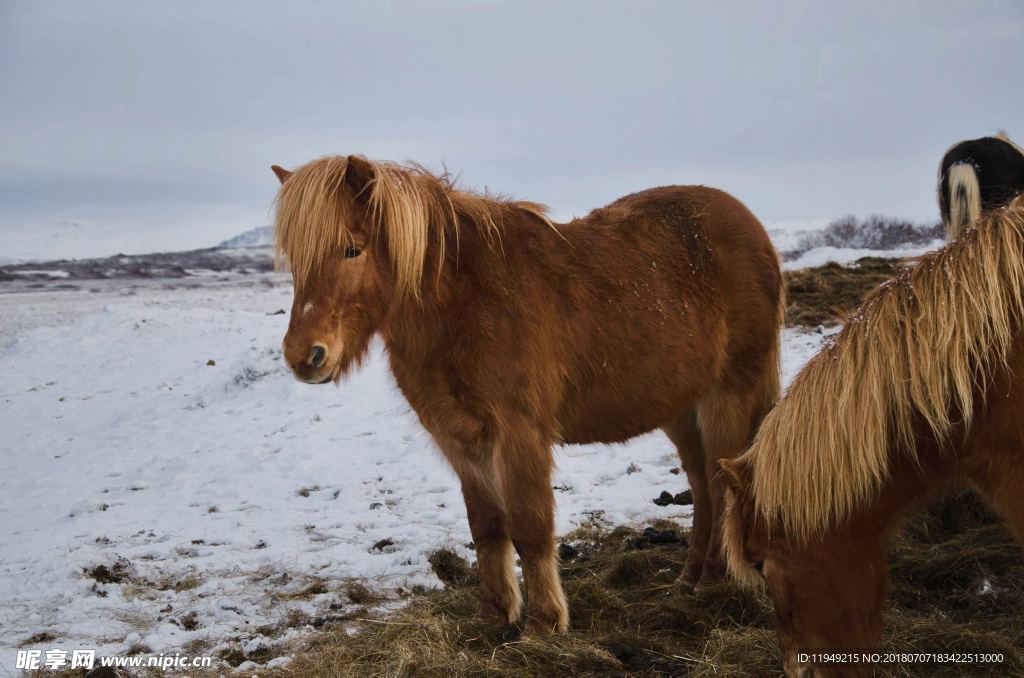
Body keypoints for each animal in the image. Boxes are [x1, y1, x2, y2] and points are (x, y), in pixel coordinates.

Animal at [268, 156, 778, 634]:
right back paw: (688, 579)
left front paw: (544, 623)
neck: (463, 304)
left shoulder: (519, 432)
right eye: (293, 257)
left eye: (351, 249)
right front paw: (494, 617)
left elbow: (530, 526)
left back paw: (713, 582)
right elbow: (486, 527)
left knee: (720, 484)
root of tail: (750, 226)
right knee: (702, 486)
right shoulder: (459, 438)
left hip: (728, 395)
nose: (303, 356)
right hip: (681, 407)